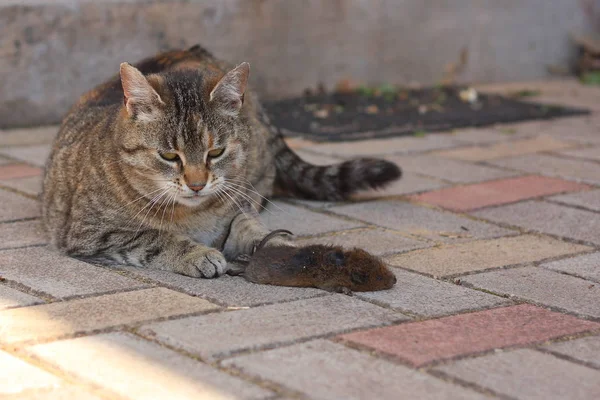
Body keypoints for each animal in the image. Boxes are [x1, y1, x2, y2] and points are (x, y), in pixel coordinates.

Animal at [43, 46, 404, 278]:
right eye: (169, 156)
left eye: (215, 152)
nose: (197, 184)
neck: (194, 215)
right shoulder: (92, 232)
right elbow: (154, 237)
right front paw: (196, 253)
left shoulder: (238, 205)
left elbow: (250, 227)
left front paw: (275, 243)